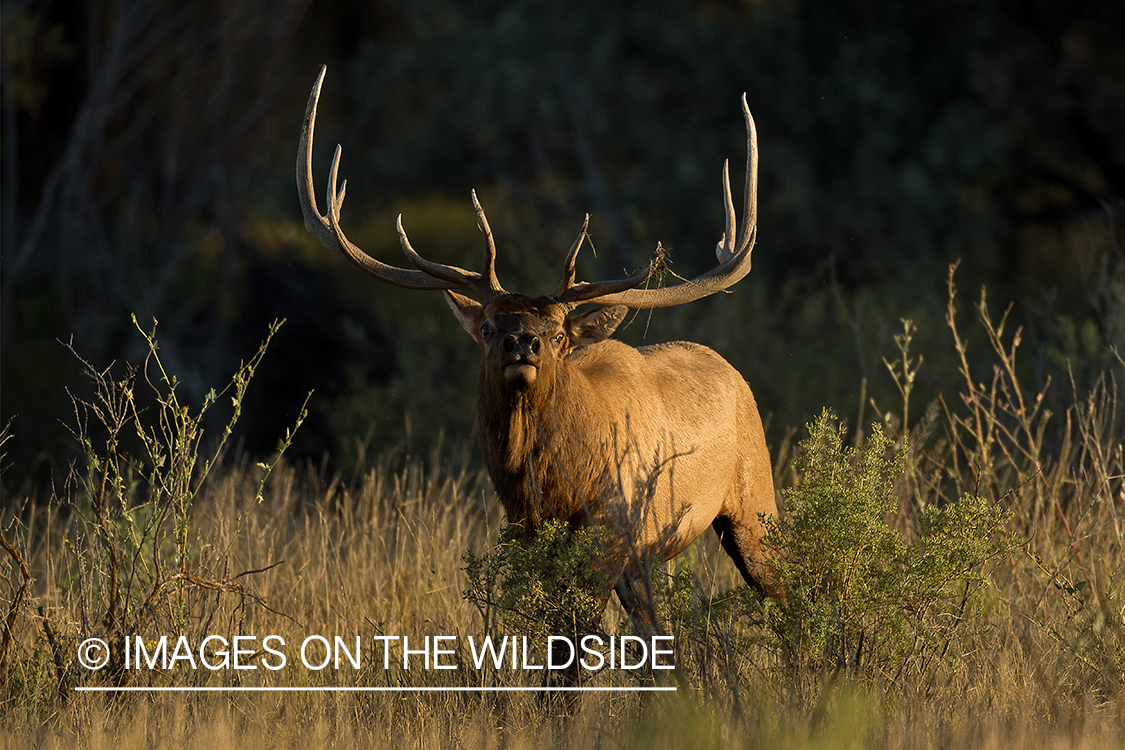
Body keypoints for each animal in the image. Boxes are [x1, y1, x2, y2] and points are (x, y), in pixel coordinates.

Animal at [294, 68, 778, 634]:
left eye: (559, 333)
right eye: (486, 327)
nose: (522, 341)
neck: (551, 488)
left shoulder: (607, 538)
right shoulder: (531, 541)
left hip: (755, 499)